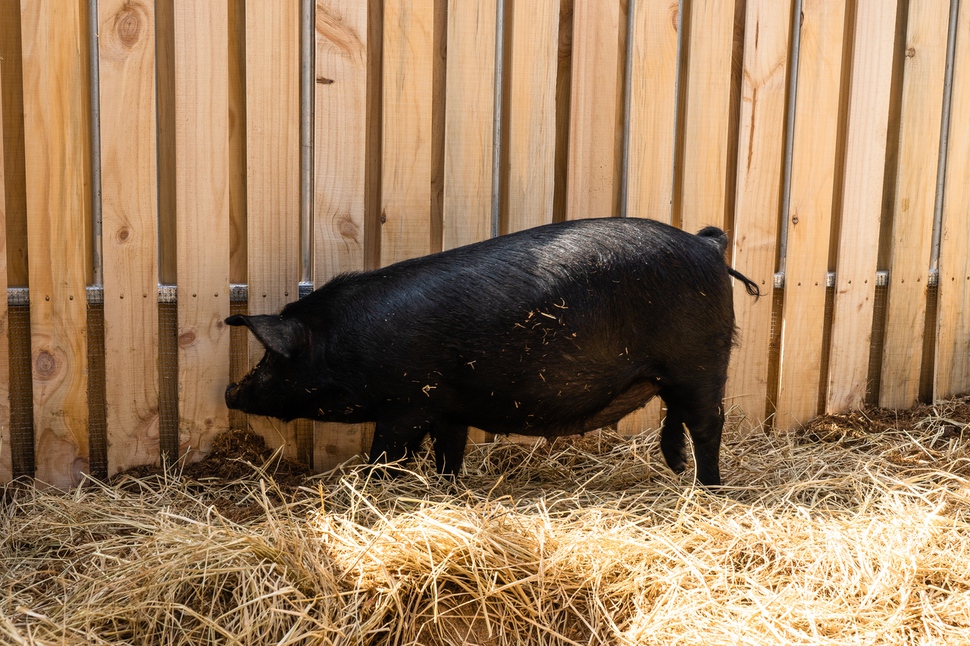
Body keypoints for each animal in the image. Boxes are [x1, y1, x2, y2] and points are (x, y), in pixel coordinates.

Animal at [225, 218, 756, 486]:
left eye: (272, 358)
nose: (230, 391)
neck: (346, 343)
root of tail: (709, 246)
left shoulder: (407, 404)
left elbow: (386, 456)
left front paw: (370, 490)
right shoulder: (447, 407)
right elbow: (449, 453)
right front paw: (447, 489)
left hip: (700, 361)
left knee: (707, 424)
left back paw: (707, 487)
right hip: (673, 371)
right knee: (676, 414)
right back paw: (676, 469)